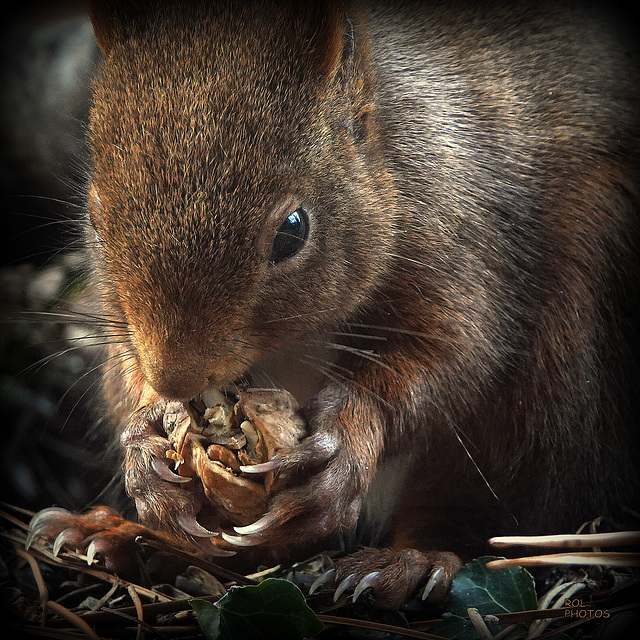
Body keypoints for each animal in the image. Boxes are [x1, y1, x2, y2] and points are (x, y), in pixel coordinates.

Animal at [31, 0, 640, 608]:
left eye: (293, 231)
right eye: (95, 218)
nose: (175, 379)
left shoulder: (466, 238)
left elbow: (452, 354)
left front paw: (343, 442)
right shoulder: (119, 323)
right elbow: (130, 371)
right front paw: (148, 438)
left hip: (558, 364)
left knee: (482, 513)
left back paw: (409, 561)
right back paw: (125, 536)